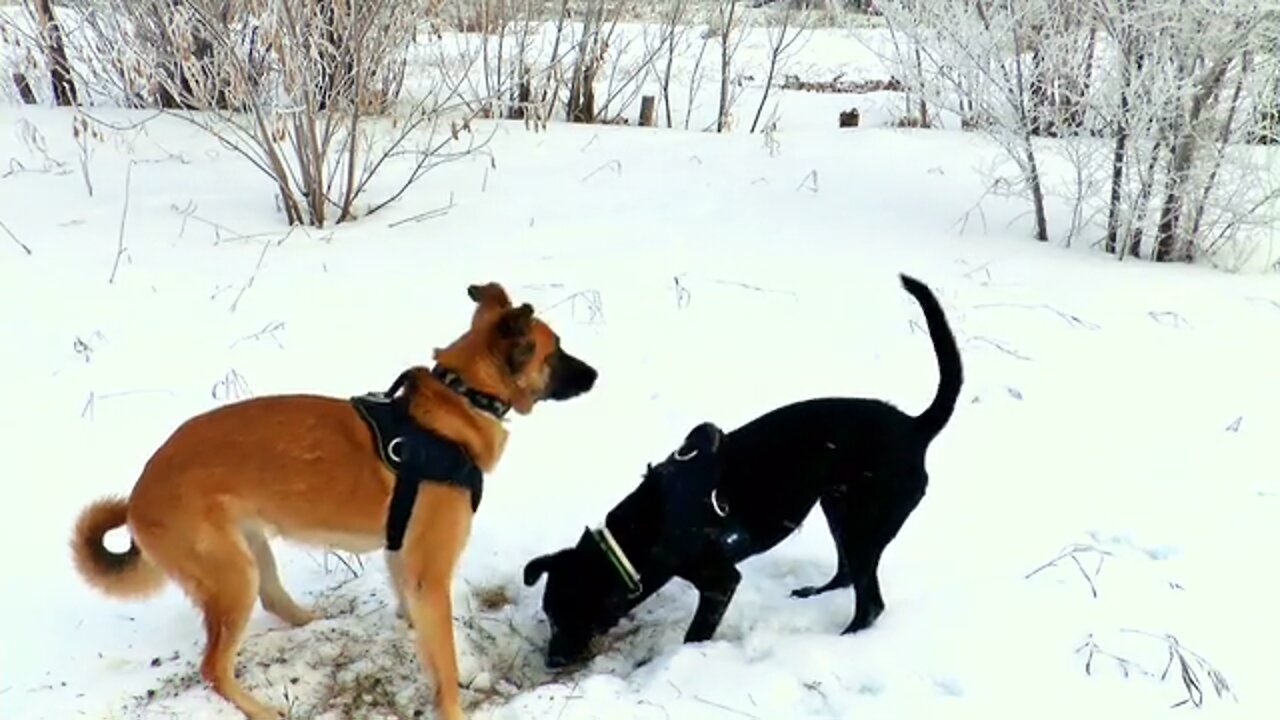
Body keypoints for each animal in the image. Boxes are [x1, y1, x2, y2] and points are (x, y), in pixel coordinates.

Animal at [64, 281, 593, 717]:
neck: (459, 399)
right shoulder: (428, 573)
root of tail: (138, 497)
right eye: (557, 350)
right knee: (214, 667)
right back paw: (263, 711)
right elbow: (443, 662)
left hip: (249, 551)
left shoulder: (402, 557)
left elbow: (421, 630)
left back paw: (313, 622)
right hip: (231, 575)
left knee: (273, 600)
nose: (596, 375)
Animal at [519, 270, 962, 666]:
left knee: (870, 603)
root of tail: (916, 427)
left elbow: (696, 632)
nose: (553, 661)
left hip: (864, 521)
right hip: (838, 506)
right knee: (847, 573)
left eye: (565, 615)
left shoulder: (720, 581)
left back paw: (845, 638)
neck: (641, 532)